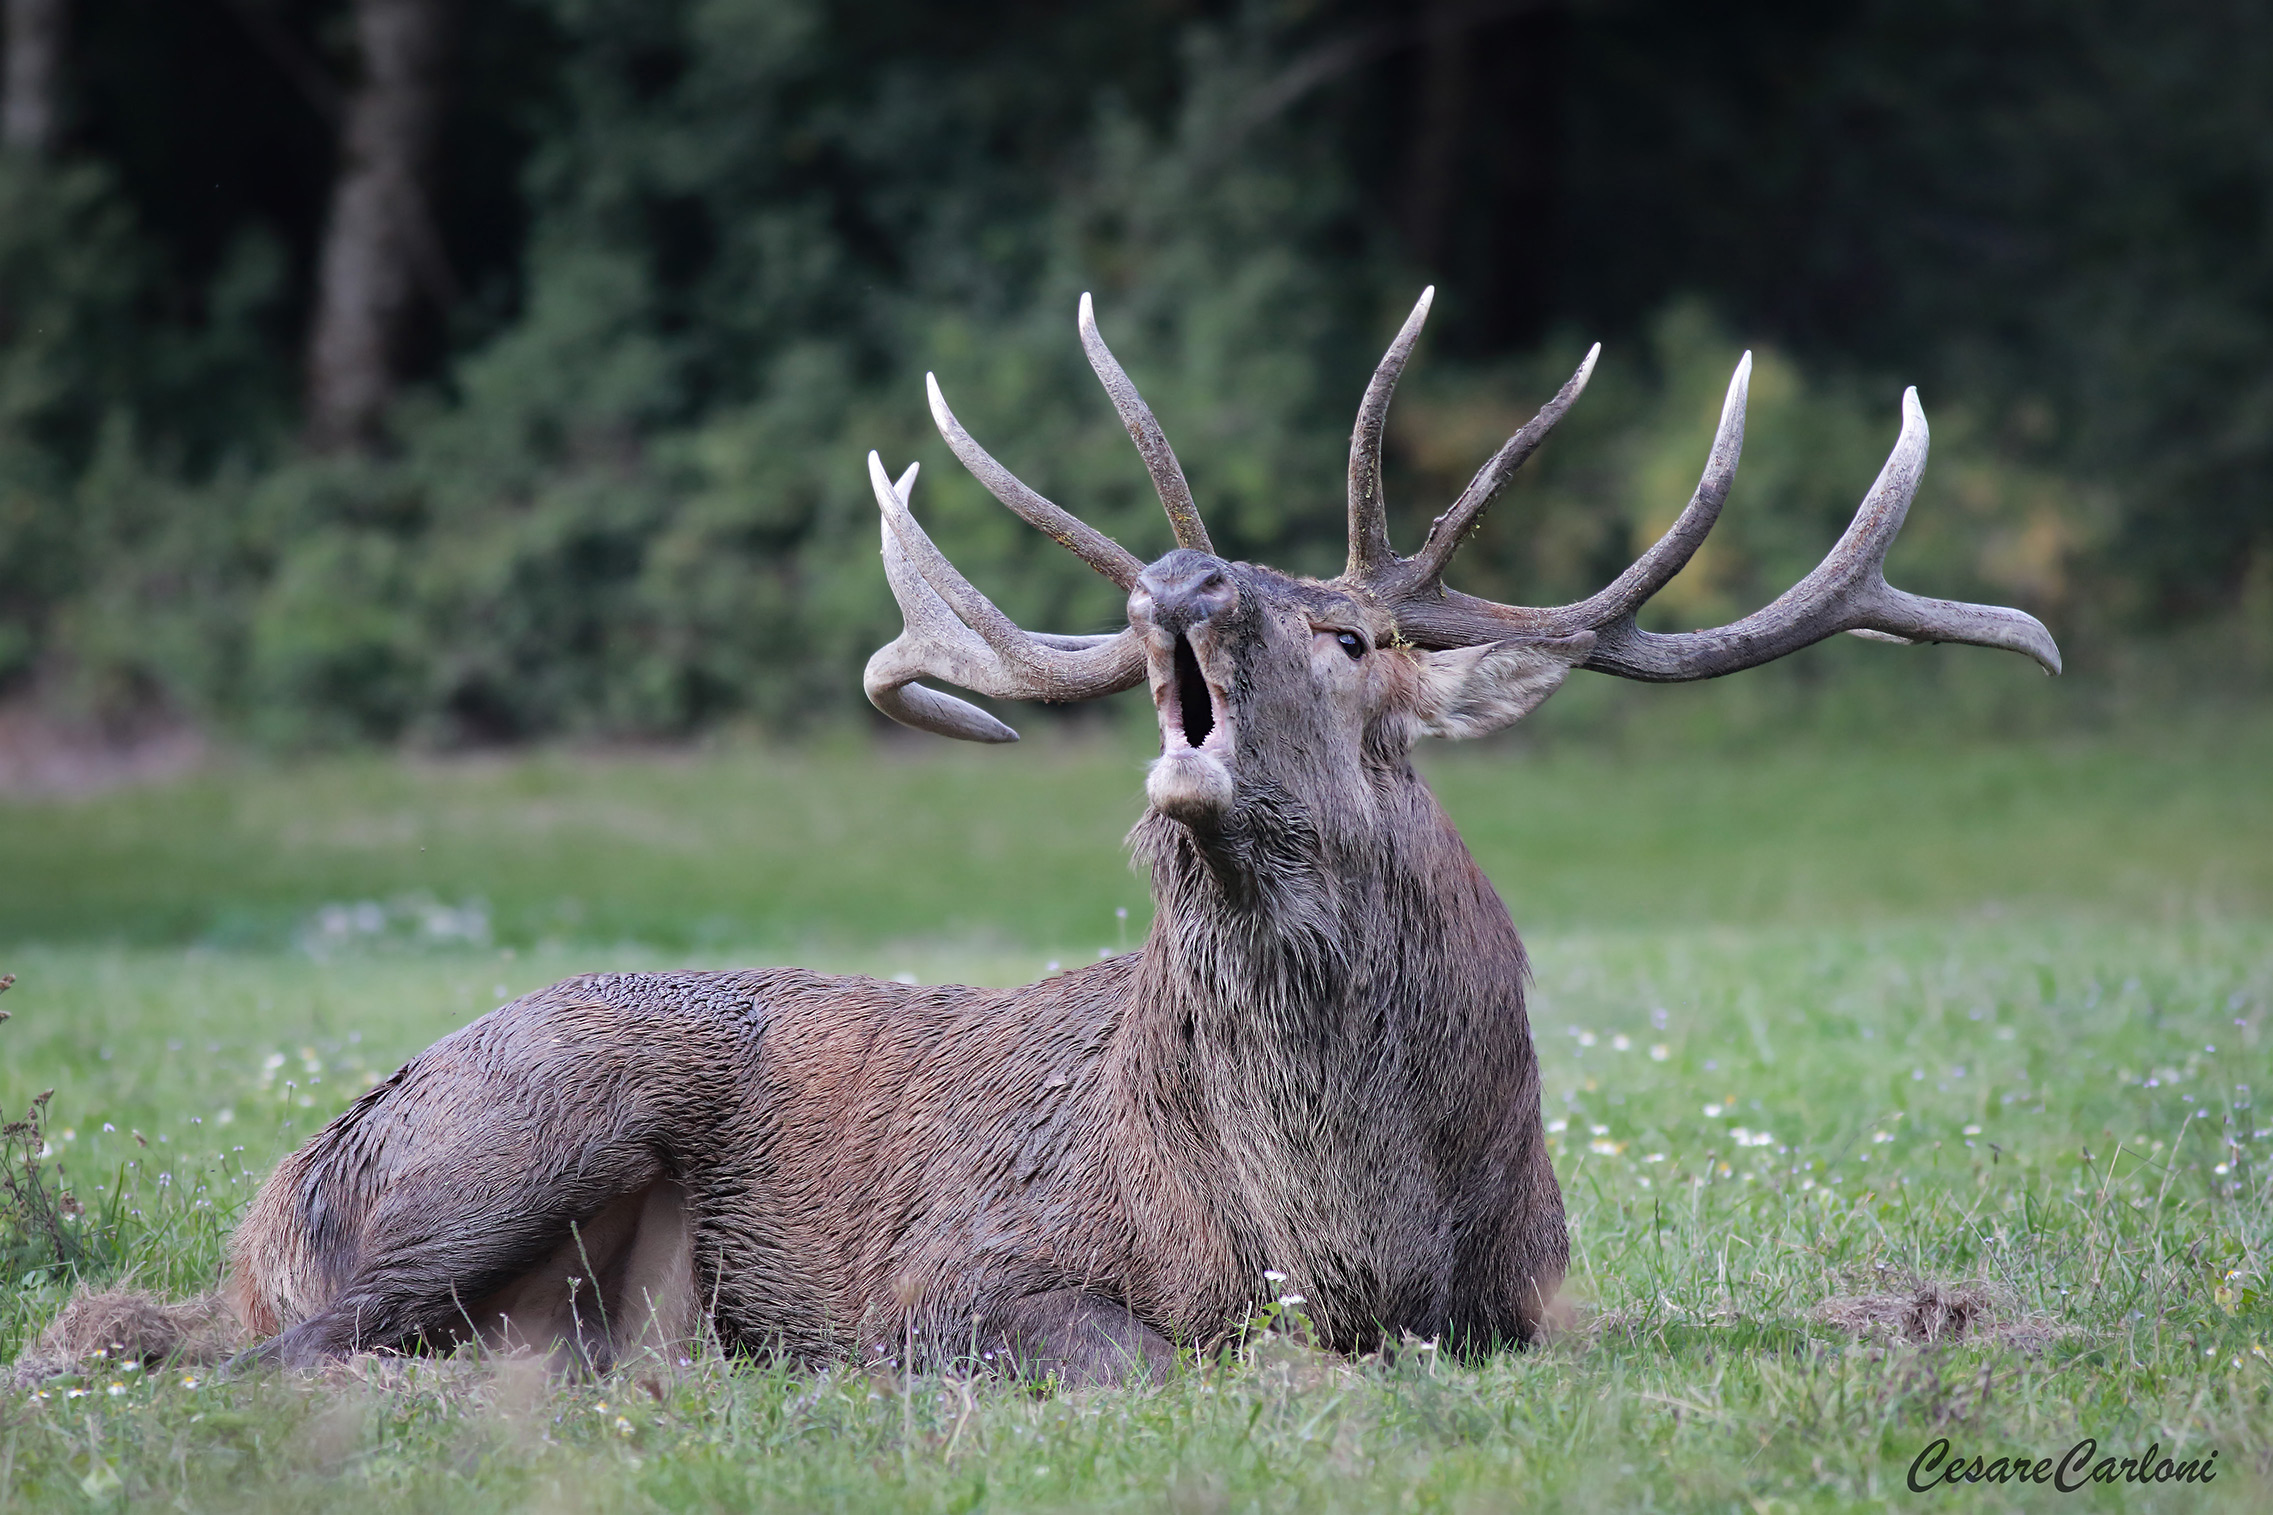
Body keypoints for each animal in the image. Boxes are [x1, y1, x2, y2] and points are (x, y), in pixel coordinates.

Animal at [17, 289, 2058, 1389]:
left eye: (1350, 636)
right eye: (1210, 596)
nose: (1179, 579)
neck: (1348, 1238)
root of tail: (286, 1188)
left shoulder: (1531, 1296)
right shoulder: (954, 1277)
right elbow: (1153, 1352)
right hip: (512, 1123)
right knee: (229, 1343)